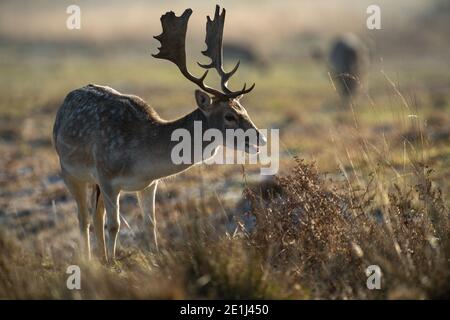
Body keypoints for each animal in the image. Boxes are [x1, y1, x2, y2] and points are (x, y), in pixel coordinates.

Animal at [51, 5, 266, 262]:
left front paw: (151, 258)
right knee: (83, 218)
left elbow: (150, 224)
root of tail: (65, 101)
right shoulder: (107, 176)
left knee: (95, 215)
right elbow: (114, 225)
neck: (140, 158)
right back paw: (89, 261)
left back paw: (100, 257)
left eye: (243, 109)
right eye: (229, 116)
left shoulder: (148, 184)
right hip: (69, 170)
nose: (261, 138)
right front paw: (113, 263)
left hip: (93, 182)